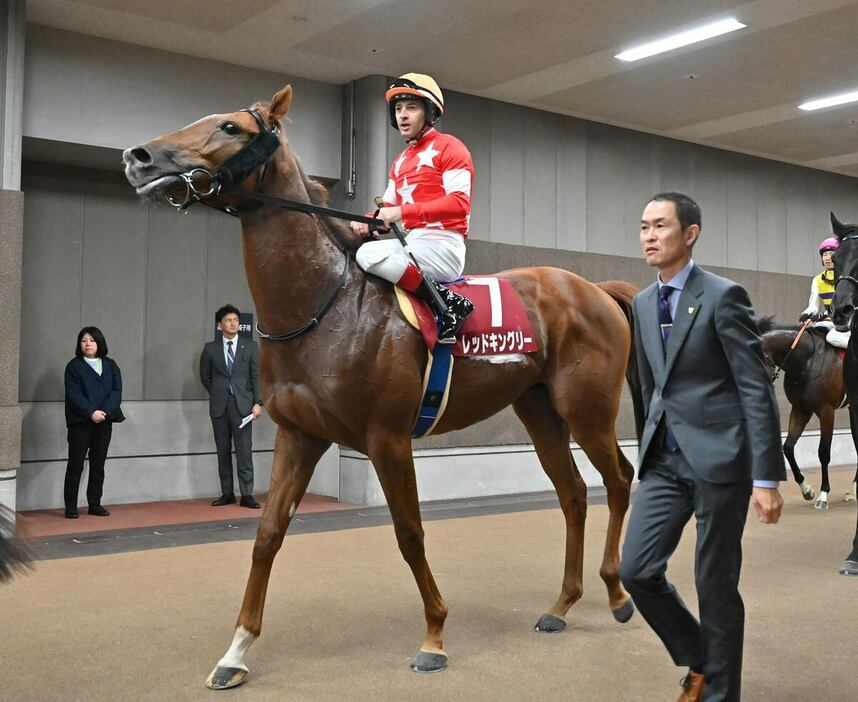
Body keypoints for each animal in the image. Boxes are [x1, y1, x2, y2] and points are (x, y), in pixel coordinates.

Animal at [123, 85, 640, 692]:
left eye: (230, 127)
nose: (138, 157)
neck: (326, 305)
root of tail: (594, 289)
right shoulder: (299, 435)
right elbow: (268, 534)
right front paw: (236, 650)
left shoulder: (387, 439)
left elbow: (409, 532)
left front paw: (434, 636)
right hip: (539, 411)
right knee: (574, 493)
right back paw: (561, 606)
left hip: (587, 409)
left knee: (620, 479)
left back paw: (618, 593)